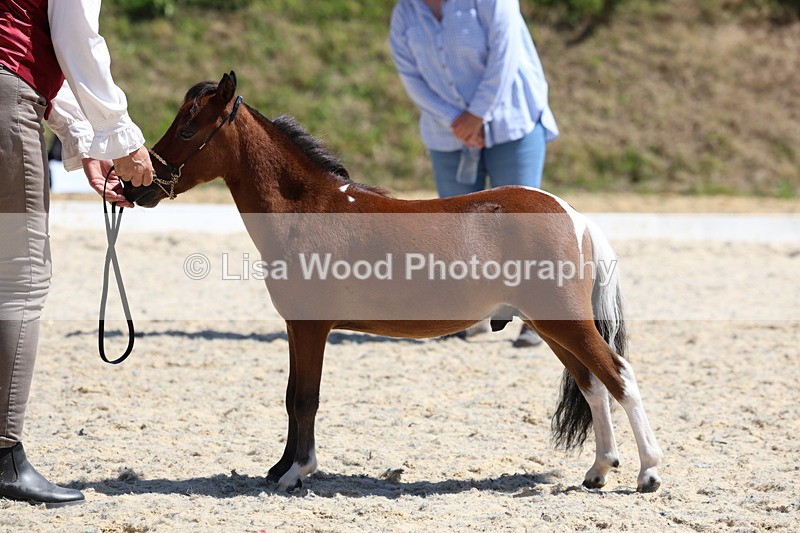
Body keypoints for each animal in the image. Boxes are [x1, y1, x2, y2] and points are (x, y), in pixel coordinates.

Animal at [124, 72, 662, 493]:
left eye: (188, 126)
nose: (136, 185)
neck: (308, 210)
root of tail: (571, 213)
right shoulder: (296, 328)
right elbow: (291, 397)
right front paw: (278, 468)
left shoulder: (312, 328)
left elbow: (306, 398)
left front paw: (297, 472)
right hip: (553, 327)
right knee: (593, 385)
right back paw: (599, 470)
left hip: (565, 322)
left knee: (619, 376)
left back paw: (648, 474)